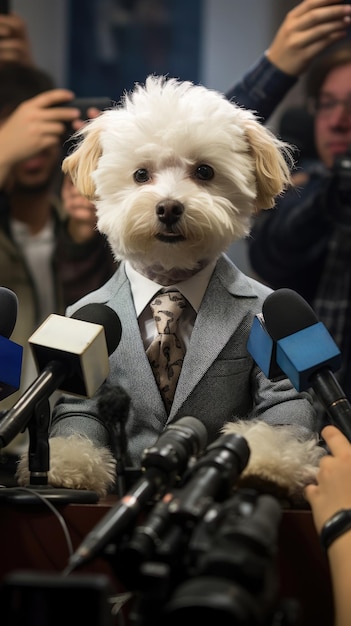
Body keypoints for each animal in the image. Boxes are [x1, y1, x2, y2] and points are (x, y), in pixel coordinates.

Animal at [16, 74, 324, 502]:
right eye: (141, 175)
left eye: (205, 171)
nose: (168, 207)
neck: (169, 282)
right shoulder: (83, 350)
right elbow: (78, 412)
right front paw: (67, 466)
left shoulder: (277, 336)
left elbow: (283, 405)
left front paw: (266, 464)